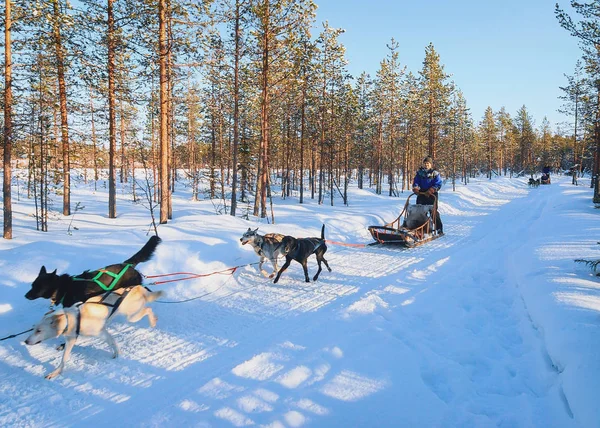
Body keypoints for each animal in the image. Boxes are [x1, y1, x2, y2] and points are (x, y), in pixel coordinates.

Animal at [24, 286, 163, 380]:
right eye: (34, 329)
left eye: (39, 330)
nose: (25, 341)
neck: (71, 318)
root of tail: (137, 287)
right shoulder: (71, 339)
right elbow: (64, 359)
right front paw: (56, 372)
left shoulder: (102, 333)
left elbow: (112, 342)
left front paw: (117, 353)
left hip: (132, 316)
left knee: (148, 309)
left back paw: (153, 320)